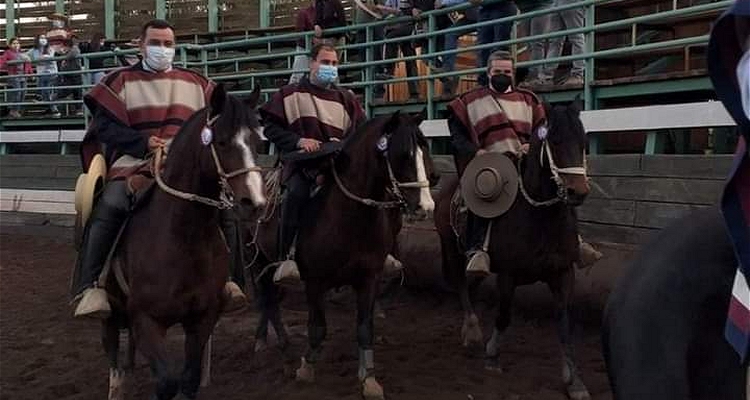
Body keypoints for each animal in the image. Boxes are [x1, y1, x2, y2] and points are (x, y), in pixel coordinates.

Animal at [102, 84, 268, 400]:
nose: (254, 203)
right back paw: (116, 382)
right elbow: (167, 383)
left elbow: (189, 379)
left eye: (257, 142)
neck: (181, 239)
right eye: (222, 142)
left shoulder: (202, 318)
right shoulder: (146, 321)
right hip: (112, 306)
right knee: (110, 339)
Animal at [248, 110, 434, 400]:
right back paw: (273, 347)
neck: (348, 216)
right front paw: (306, 368)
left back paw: (273, 341)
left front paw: (369, 379)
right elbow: (317, 328)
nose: (426, 207)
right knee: (267, 298)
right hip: (257, 259)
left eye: (425, 150)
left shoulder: (369, 279)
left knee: (270, 299)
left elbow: (365, 328)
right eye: (404, 154)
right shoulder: (314, 281)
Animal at [434, 99, 592, 400]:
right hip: (451, 249)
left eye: (584, 141)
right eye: (554, 140)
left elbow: (564, 322)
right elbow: (504, 315)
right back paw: (472, 331)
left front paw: (574, 380)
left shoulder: (564, 273)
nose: (578, 192)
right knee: (461, 285)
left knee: (471, 283)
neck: (540, 216)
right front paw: (492, 357)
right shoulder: (508, 275)